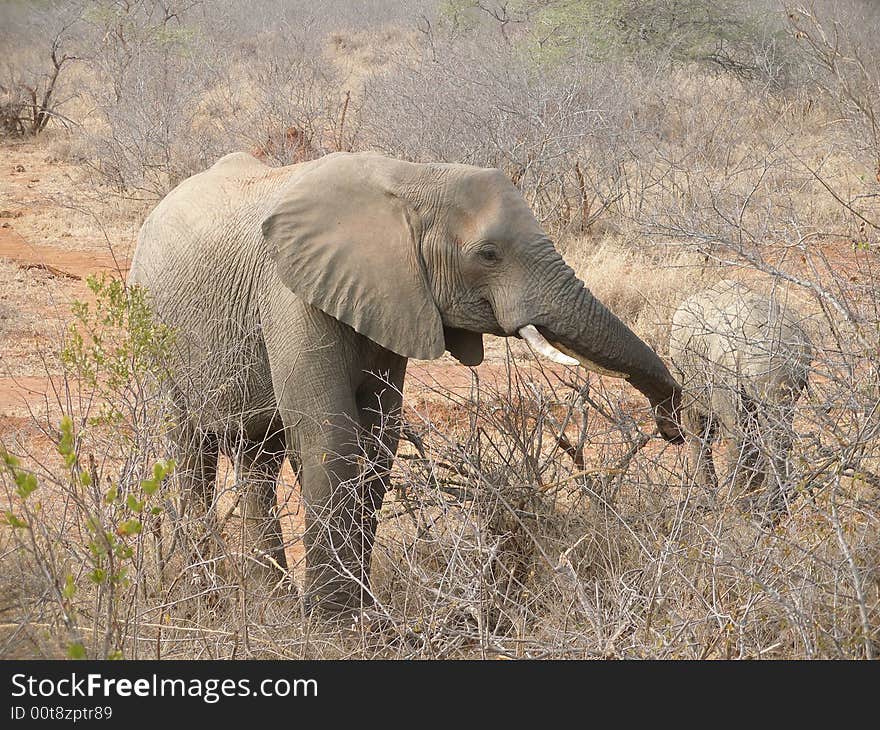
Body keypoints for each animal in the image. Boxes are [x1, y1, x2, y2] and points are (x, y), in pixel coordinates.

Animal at [127, 149, 684, 616]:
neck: (413, 177)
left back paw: (273, 599)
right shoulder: (289, 295)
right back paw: (206, 597)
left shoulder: (390, 299)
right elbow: (331, 435)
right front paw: (334, 623)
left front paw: (362, 612)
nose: (675, 426)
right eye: (488, 254)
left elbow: (378, 443)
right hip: (154, 327)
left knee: (256, 458)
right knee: (187, 455)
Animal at [672, 278, 816, 512]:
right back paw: (771, 507)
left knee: (739, 433)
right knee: (774, 430)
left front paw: (706, 505)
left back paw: (743, 504)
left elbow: (698, 426)